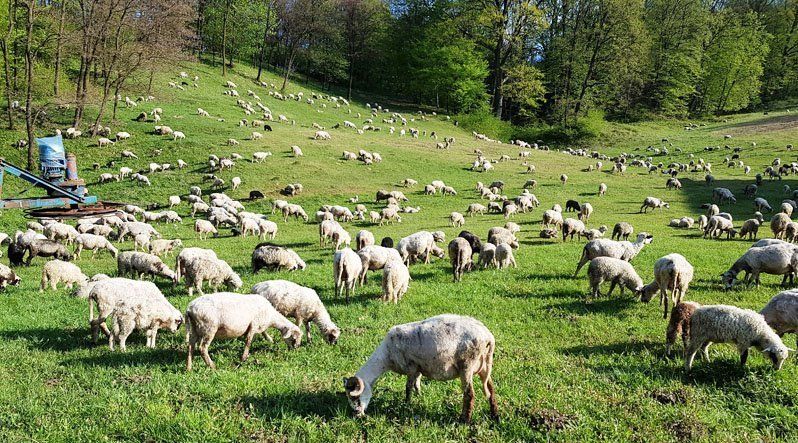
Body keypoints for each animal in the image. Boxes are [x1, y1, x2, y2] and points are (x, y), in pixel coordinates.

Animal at [344, 314, 500, 424]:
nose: (357, 414)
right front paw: (419, 396)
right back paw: (495, 415)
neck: (386, 356)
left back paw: (464, 420)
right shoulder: (419, 367)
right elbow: (417, 384)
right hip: (484, 367)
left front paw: (406, 404)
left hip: (467, 365)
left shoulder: (411, 366)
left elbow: (408, 387)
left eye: (356, 397)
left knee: (469, 394)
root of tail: (488, 338)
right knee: (491, 390)